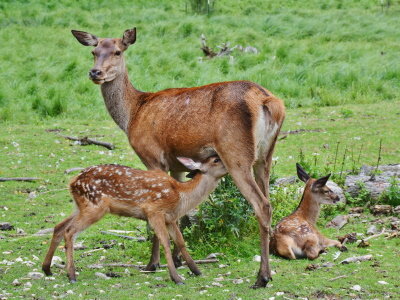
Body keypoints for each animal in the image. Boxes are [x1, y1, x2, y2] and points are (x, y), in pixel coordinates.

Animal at [71, 27, 284, 288]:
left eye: (118, 51)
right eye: (94, 51)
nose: (95, 72)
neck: (133, 114)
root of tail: (267, 101)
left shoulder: (153, 156)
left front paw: (153, 263)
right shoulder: (177, 166)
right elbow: (180, 214)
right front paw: (178, 260)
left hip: (236, 154)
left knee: (261, 204)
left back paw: (261, 277)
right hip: (265, 156)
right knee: (268, 199)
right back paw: (269, 271)